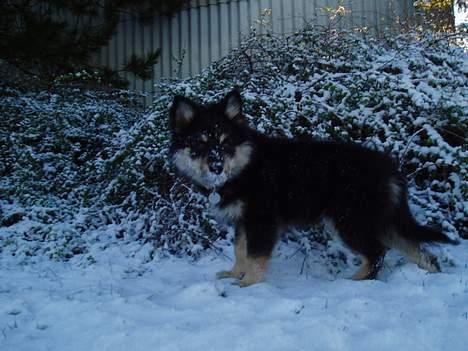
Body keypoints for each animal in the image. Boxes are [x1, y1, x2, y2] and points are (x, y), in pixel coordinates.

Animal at [169, 89, 458, 288]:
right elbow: (240, 249)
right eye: (199, 143)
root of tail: (389, 168)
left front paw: (248, 284)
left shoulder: (261, 220)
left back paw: (354, 282)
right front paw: (234, 273)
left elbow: (255, 255)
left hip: (349, 219)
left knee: (377, 252)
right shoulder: (243, 221)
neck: (246, 166)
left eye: (226, 142)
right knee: (419, 250)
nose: (216, 167)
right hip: (380, 220)